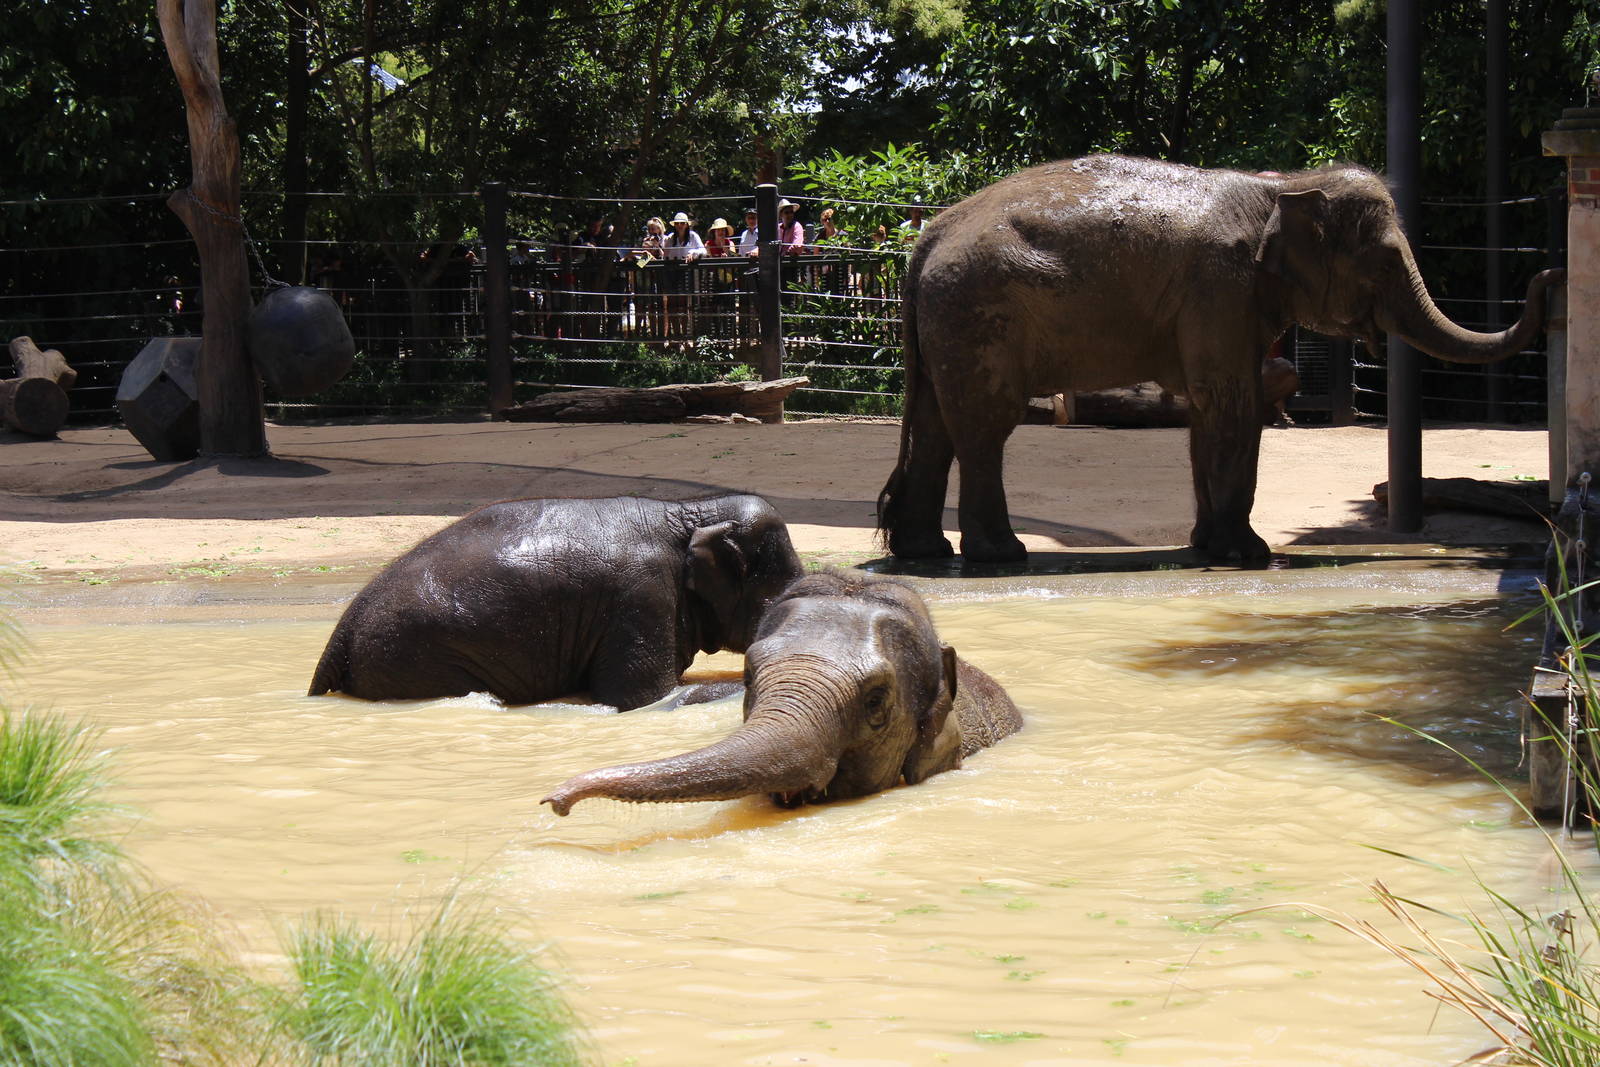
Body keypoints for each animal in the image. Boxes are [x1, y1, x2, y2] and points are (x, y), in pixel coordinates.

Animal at [877, 154, 1564, 563]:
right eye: (1388, 261)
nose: (1550, 275)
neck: (1283, 185)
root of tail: (927, 238)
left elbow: (1210, 409)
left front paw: (1210, 550)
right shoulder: (1220, 284)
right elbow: (1233, 401)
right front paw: (1252, 555)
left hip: (947, 323)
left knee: (936, 424)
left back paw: (924, 554)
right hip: (977, 315)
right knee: (985, 425)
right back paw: (1001, 556)